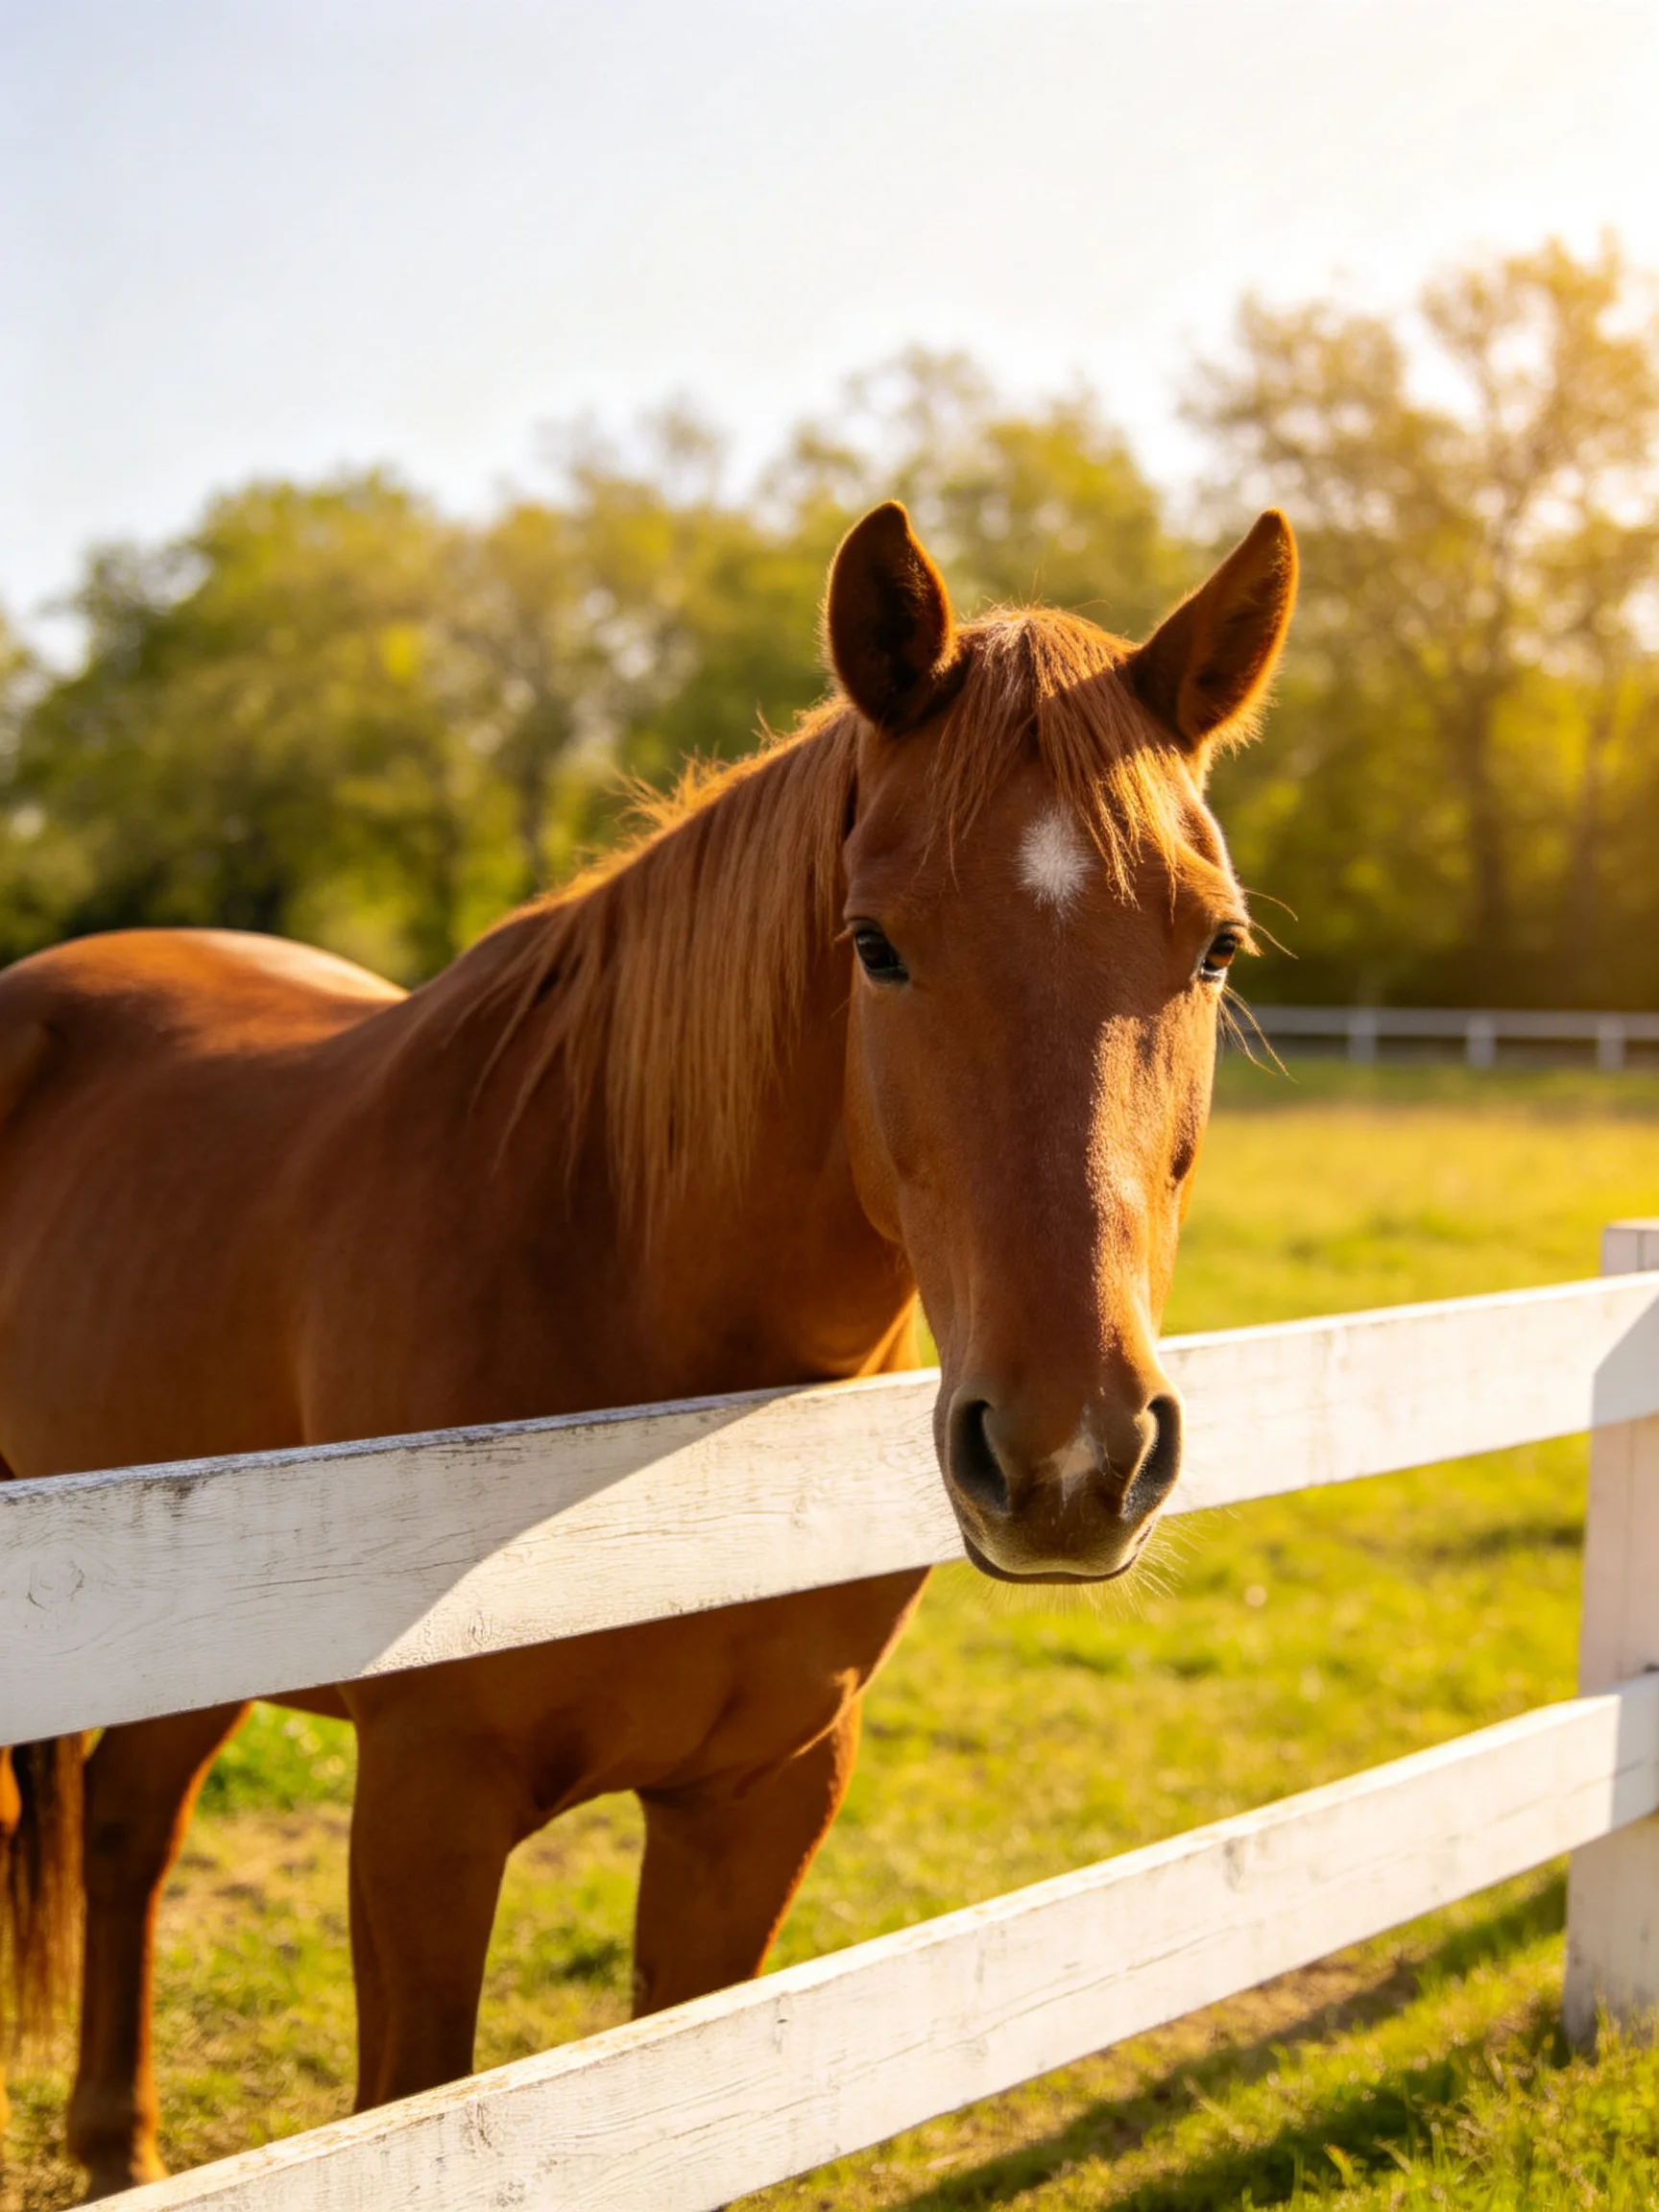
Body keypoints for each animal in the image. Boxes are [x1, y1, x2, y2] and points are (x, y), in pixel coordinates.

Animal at [0, 499, 1295, 2196]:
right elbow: (407, 2094)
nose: (1072, 1456)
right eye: (874, 943)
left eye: (1214, 950)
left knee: (129, 1824)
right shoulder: (425, 1809)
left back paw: (118, 2147)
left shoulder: (759, 1801)